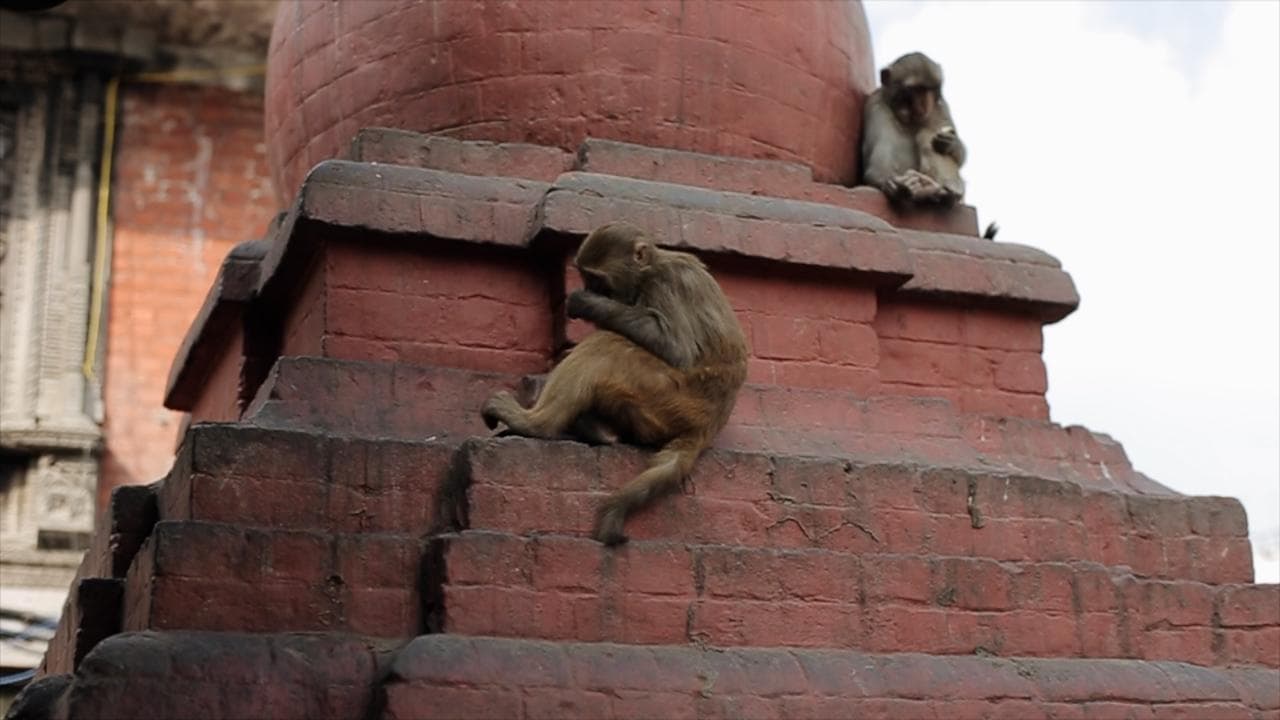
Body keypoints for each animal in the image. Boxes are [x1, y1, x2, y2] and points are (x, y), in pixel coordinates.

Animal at [480, 222, 748, 546]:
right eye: (587, 277)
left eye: (598, 281)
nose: (590, 290)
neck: (649, 270)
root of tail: (709, 424)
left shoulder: (666, 283)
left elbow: (675, 347)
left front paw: (587, 304)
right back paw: (596, 429)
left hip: (672, 395)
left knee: (608, 344)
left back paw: (536, 423)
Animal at [861, 52, 969, 208]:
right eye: (914, 89)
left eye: (929, 89)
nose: (923, 106)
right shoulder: (875, 105)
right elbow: (875, 165)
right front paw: (894, 187)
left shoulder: (940, 107)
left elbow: (960, 157)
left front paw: (952, 142)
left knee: (926, 135)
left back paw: (944, 189)